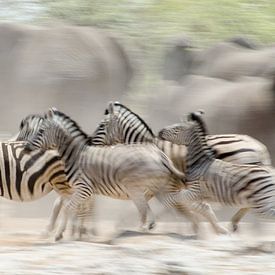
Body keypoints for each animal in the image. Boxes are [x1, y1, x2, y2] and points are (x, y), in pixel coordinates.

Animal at [20, 109, 232, 240]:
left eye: (40, 131)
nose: (26, 148)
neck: (77, 155)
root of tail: (160, 155)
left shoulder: (84, 189)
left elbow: (68, 208)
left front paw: (59, 234)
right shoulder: (81, 192)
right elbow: (71, 208)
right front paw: (70, 233)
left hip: (141, 188)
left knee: (178, 207)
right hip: (160, 191)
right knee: (189, 207)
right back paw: (205, 231)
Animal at [98, 101, 272, 231]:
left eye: (101, 126)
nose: (92, 142)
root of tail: (259, 148)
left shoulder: (167, 186)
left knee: (249, 204)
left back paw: (234, 224)